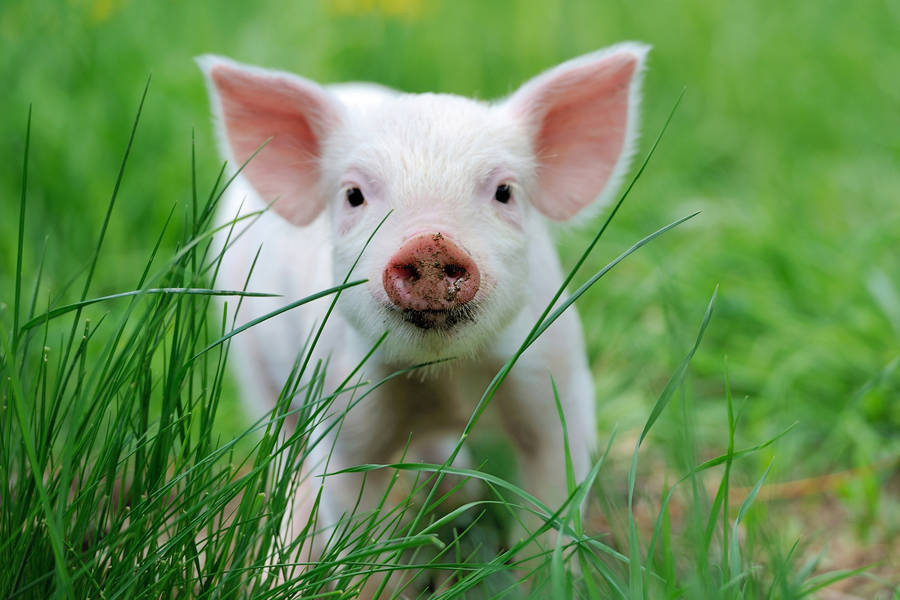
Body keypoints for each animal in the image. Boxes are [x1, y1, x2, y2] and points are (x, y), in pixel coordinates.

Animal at [198, 42, 648, 577]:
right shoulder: (341, 406)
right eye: (353, 195)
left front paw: (543, 578)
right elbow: (353, 519)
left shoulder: (558, 383)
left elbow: (550, 505)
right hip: (251, 359)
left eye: (505, 191)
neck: (444, 377)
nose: (430, 244)